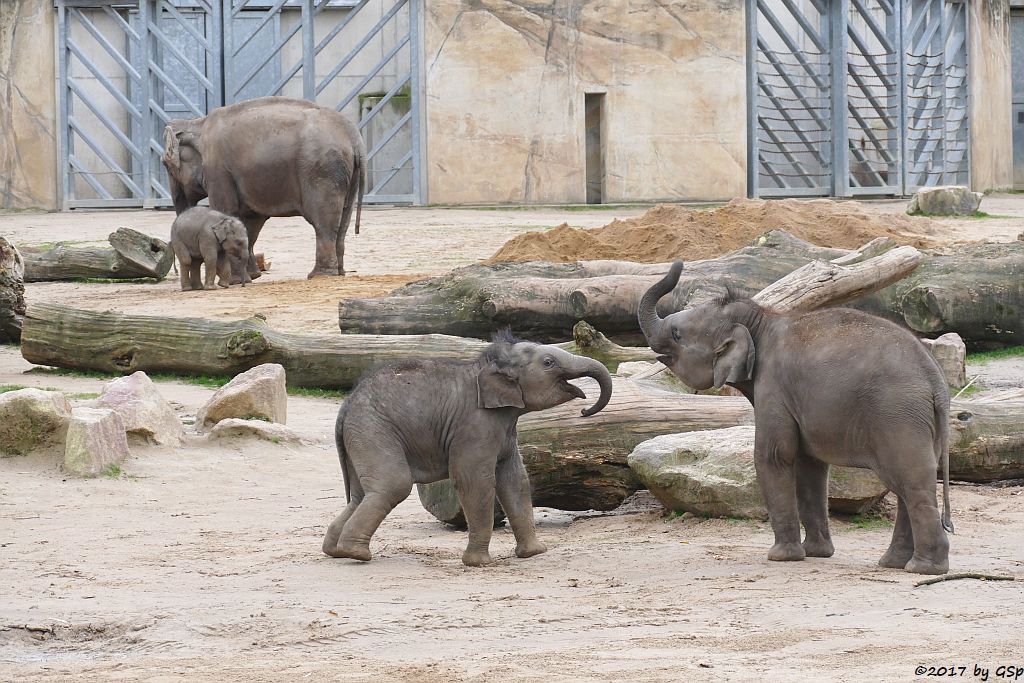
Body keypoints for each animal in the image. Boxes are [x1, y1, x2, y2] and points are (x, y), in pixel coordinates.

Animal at [161, 94, 366, 278]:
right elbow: (251, 221)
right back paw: (339, 272)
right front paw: (252, 277)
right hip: (346, 174)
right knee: (343, 220)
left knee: (324, 222)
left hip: (322, 171)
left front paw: (235, 280)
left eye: (165, 164)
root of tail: (354, 137)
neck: (197, 124)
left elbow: (226, 210)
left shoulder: (218, 172)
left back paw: (319, 275)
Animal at [321, 333, 606, 569]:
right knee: (393, 485)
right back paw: (357, 554)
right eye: (548, 362)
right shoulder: (475, 425)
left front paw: (534, 553)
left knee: (360, 495)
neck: (488, 366)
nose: (585, 410)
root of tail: (345, 405)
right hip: (373, 430)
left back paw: (336, 551)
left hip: (361, 437)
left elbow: (515, 480)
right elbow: (475, 481)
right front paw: (479, 564)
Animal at [634, 262, 954, 577]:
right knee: (908, 484)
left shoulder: (773, 386)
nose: (678, 265)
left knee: (911, 484)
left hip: (898, 416)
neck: (760, 319)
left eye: (677, 334)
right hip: (925, 424)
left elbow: (774, 455)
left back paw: (924, 568)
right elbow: (809, 465)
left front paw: (781, 557)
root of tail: (936, 379)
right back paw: (894, 563)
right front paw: (816, 553)